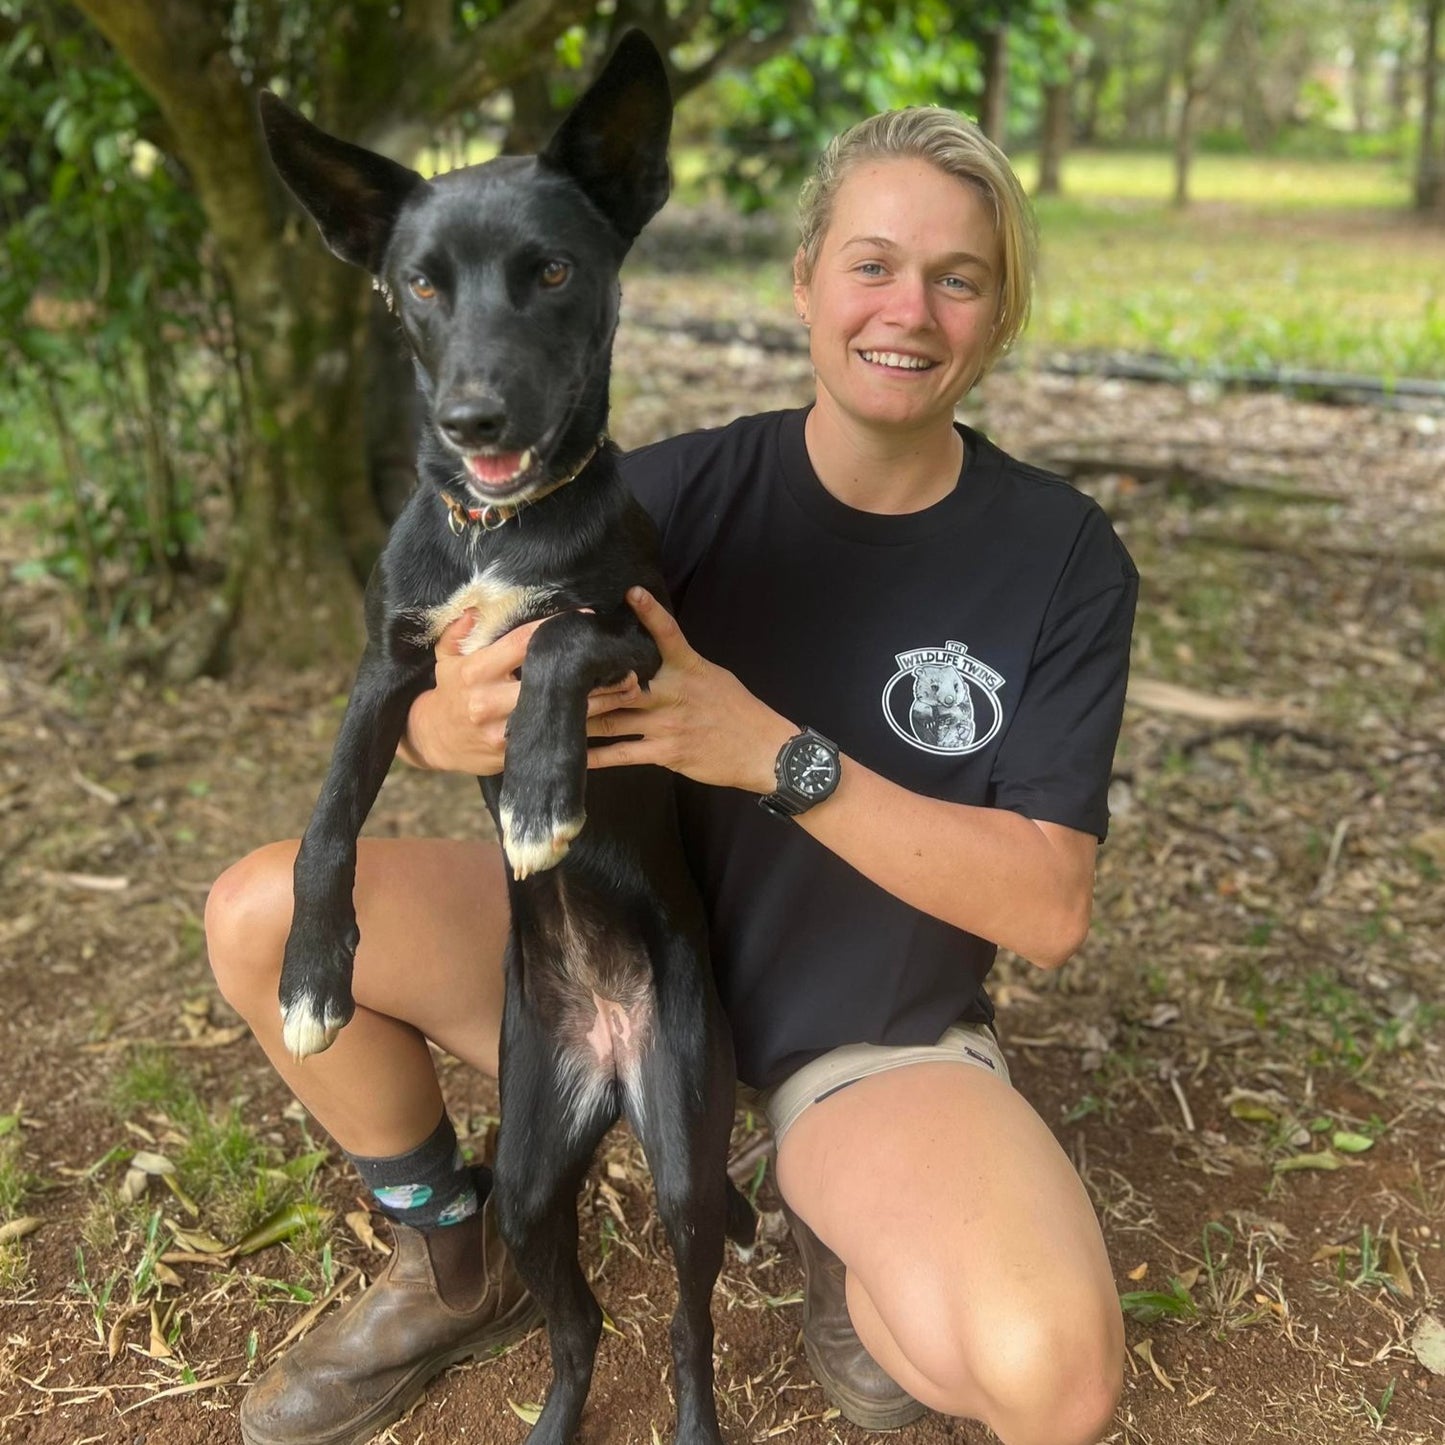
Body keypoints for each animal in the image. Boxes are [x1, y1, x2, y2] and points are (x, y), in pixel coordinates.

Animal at [261, 33, 757, 1445]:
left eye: (550, 271)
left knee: (689, 1321)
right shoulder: (390, 666)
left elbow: (554, 639)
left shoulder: (648, 644)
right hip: (534, 1167)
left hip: (686, 1145)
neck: (497, 528)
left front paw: (540, 796)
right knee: (574, 1318)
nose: (473, 420)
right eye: (420, 285)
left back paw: (692, 1417)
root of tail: (606, 1057)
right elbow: (328, 816)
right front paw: (312, 974)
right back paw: (552, 1415)